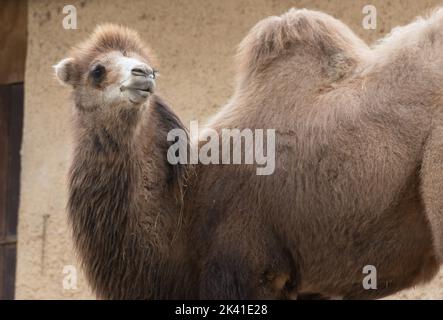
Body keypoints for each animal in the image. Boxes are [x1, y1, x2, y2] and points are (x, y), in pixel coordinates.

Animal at [54, 8, 443, 300]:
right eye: (97, 71)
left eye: (149, 64)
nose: (142, 74)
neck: (185, 209)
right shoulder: (308, 286)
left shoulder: (248, 268)